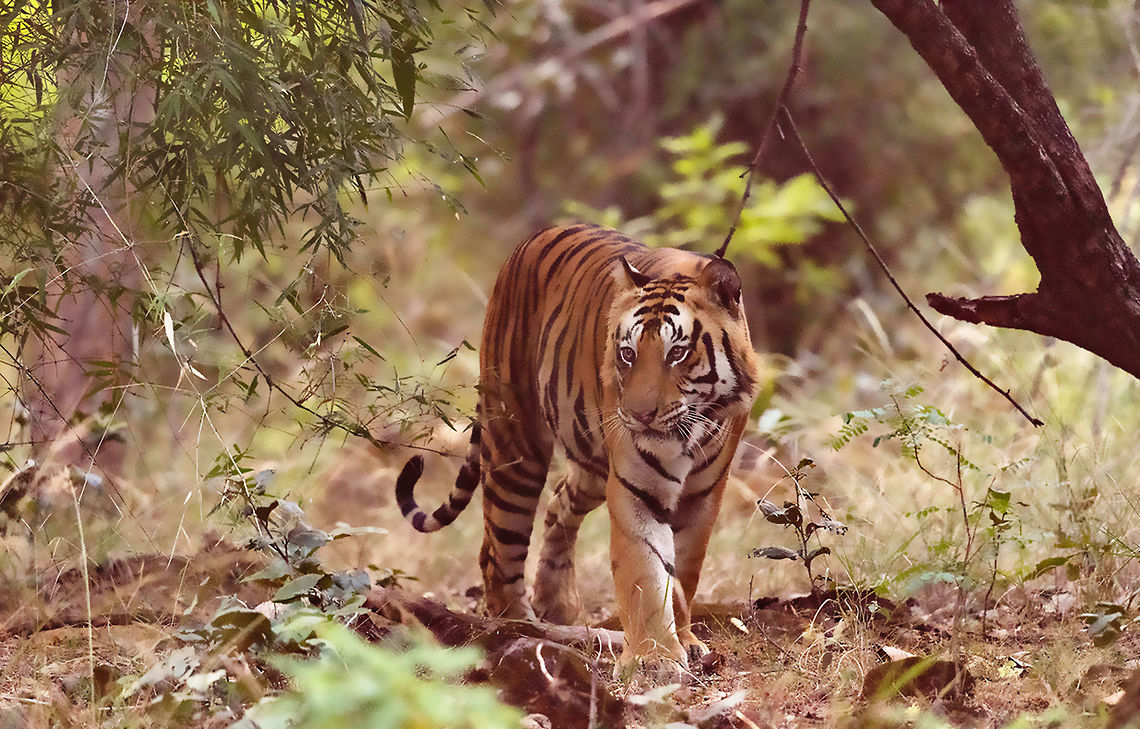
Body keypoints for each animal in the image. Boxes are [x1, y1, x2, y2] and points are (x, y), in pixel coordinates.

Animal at [396, 223, 761, 675]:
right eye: (627, 353)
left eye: (677, 352)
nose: (638, 415)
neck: (691, 430)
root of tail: (530, 240)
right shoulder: (636, 489)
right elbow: (645, 571)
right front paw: (654, 657)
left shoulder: (702, 495)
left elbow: (683, 573)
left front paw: (686, 640)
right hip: (517, 448)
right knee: (498, 551)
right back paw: (523, 629)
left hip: (591, 464)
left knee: (557, 506)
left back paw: (558, 606)